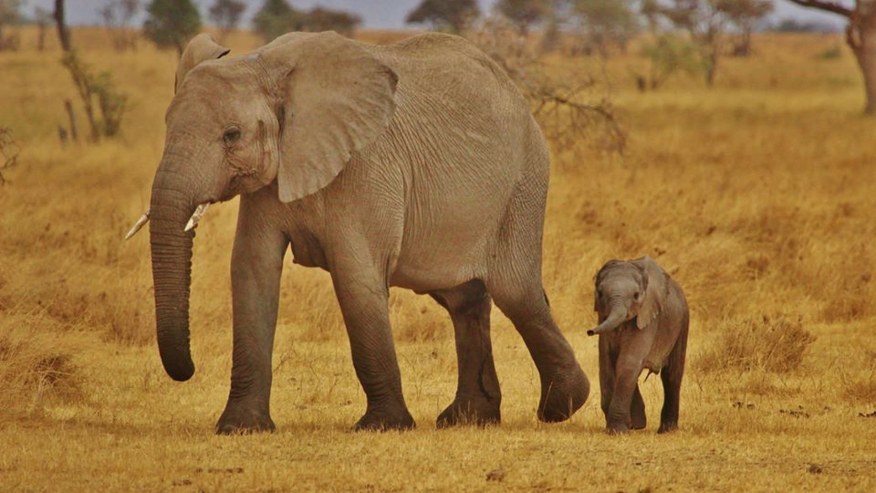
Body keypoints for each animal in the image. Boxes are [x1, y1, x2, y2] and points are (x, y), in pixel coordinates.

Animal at [133, 30, 592, 432]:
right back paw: (467, 419)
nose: (188, 370)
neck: (265, 66)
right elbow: (251, 271)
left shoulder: (366, 166)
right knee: (464, 300)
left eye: (232, 135)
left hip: (523, 183)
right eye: (167, 125)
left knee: (516, 292)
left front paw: (383, 426)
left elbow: (355, 278)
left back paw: (562, 406)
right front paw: (239, 428)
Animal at [588, 256, 692, 432]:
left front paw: (617, 431)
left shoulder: (648, 317)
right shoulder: (603, 318)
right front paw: (629, 426)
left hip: (683, 322)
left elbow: (628, 361)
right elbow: (607, 363)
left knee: (672, 375)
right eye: (600, 294)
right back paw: (638, 425)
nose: (589, 331)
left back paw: (667, 430)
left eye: (636, 295)